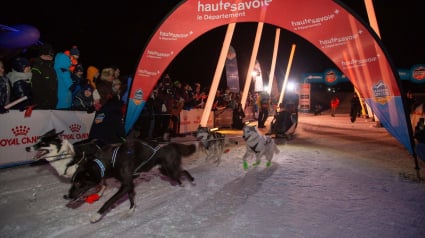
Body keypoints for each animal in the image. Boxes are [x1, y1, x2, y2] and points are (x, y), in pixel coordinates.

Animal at [66, 138, 197, 223]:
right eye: (72, 181)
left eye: (78, 182)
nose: (66, 196)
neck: (109, 162)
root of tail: (171, 144)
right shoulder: (129, 184)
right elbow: (131, 197)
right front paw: (131, 210)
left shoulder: (126, 185)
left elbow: (109, 201)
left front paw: (96, 215)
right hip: (164, 171)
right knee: (180, 174)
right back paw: (182, 184)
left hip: (170, 170)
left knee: (183, 171)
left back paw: (191, 181)